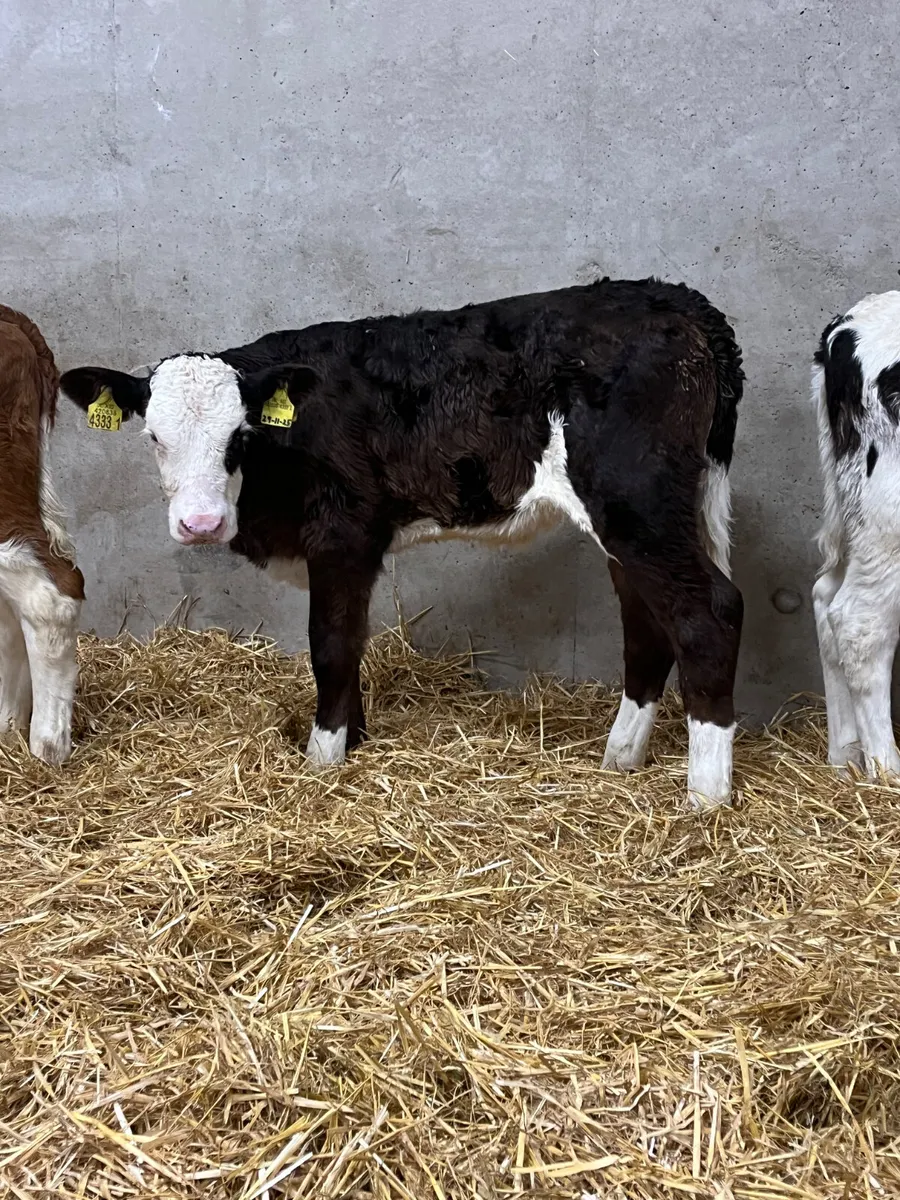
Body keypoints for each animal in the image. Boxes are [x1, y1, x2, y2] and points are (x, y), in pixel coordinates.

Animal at [60, 277, 744, 810]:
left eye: (240, 434)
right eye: (153, 437)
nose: (199, 523)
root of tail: (674, 299)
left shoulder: (343, 535)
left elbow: (332, 645)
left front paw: (323, 757)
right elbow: (354, 641)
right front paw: (353, 738)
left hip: (637, 502)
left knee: (708, 613)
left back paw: (705, 798)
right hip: (638, 521)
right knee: (648, 621)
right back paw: (620, 759)